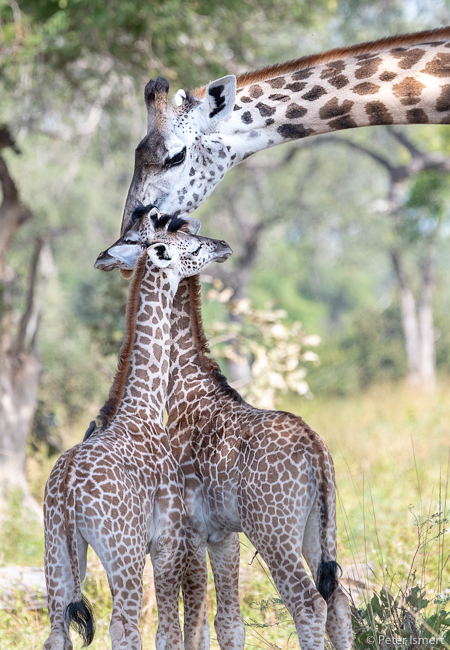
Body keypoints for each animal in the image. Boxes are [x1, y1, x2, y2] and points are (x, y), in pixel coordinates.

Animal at [43, 209, 232, 650]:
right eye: (192, 246)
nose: (223, 245)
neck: (142, 406)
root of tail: (67, 490)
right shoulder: (166, 540)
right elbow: (169, 630)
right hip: (122, 551)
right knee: (124, 626)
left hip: (57, 551)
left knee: (57, 631)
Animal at [99, 213, 353, 650]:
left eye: (131, 239)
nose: (223, 245)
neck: (185, 386)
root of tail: (314, 451)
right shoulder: (223, 533)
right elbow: (228, 623)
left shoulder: (191, 529)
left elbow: (194, 622)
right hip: (319, 527)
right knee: (338, 601)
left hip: (273, 532)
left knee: (308, 604)